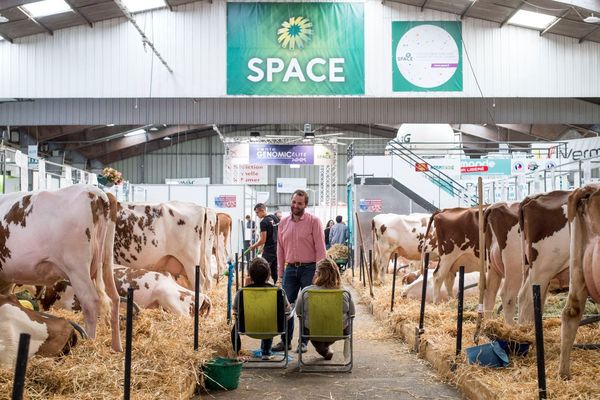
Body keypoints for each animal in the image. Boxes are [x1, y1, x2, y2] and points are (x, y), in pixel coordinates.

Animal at [0, 186, 122, 352]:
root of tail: (94, 191)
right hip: (106, 261)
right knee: (115, 298)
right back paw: (117, 348)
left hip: (77, 267)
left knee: (90, 302)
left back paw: (89, 343)